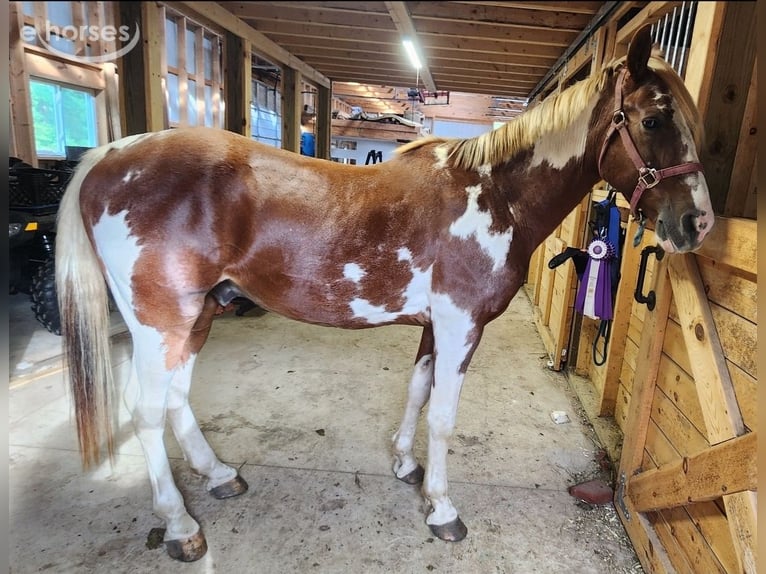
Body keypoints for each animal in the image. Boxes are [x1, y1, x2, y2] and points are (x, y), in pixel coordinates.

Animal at [55, 25, 713, 562]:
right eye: (652, 120)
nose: (697, 223)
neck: (494, 195)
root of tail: (109, 157)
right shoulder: (460, 326)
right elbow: (444, 416)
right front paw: (442, 509)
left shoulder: (435, 326)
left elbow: (418, 391)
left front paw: (404, 463)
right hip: (160, 321)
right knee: (144, 412)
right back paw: (180, 526)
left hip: (197, 316)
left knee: (175, 399)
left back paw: (219, 476)